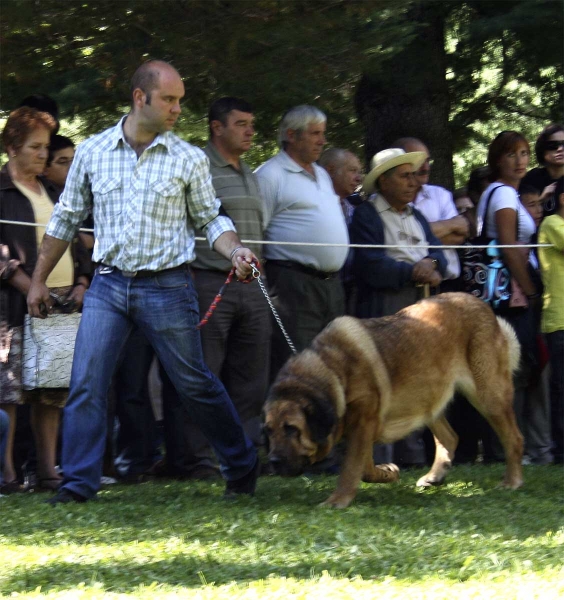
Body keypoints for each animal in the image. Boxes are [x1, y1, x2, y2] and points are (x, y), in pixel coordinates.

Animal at [264, 292, 524, 508]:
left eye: (292, 429)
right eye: (268, 431)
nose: (273, 461)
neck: (334, 370)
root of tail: (482, 305)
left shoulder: (363, 424)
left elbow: (351, 468)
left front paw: (337, 500)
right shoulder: (363, 429)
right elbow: (364, 467)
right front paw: (388, 473)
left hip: (488, 396)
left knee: (513, 438)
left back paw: (511, 481)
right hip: (429, 396)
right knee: (450, 437)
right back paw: (435, 475)